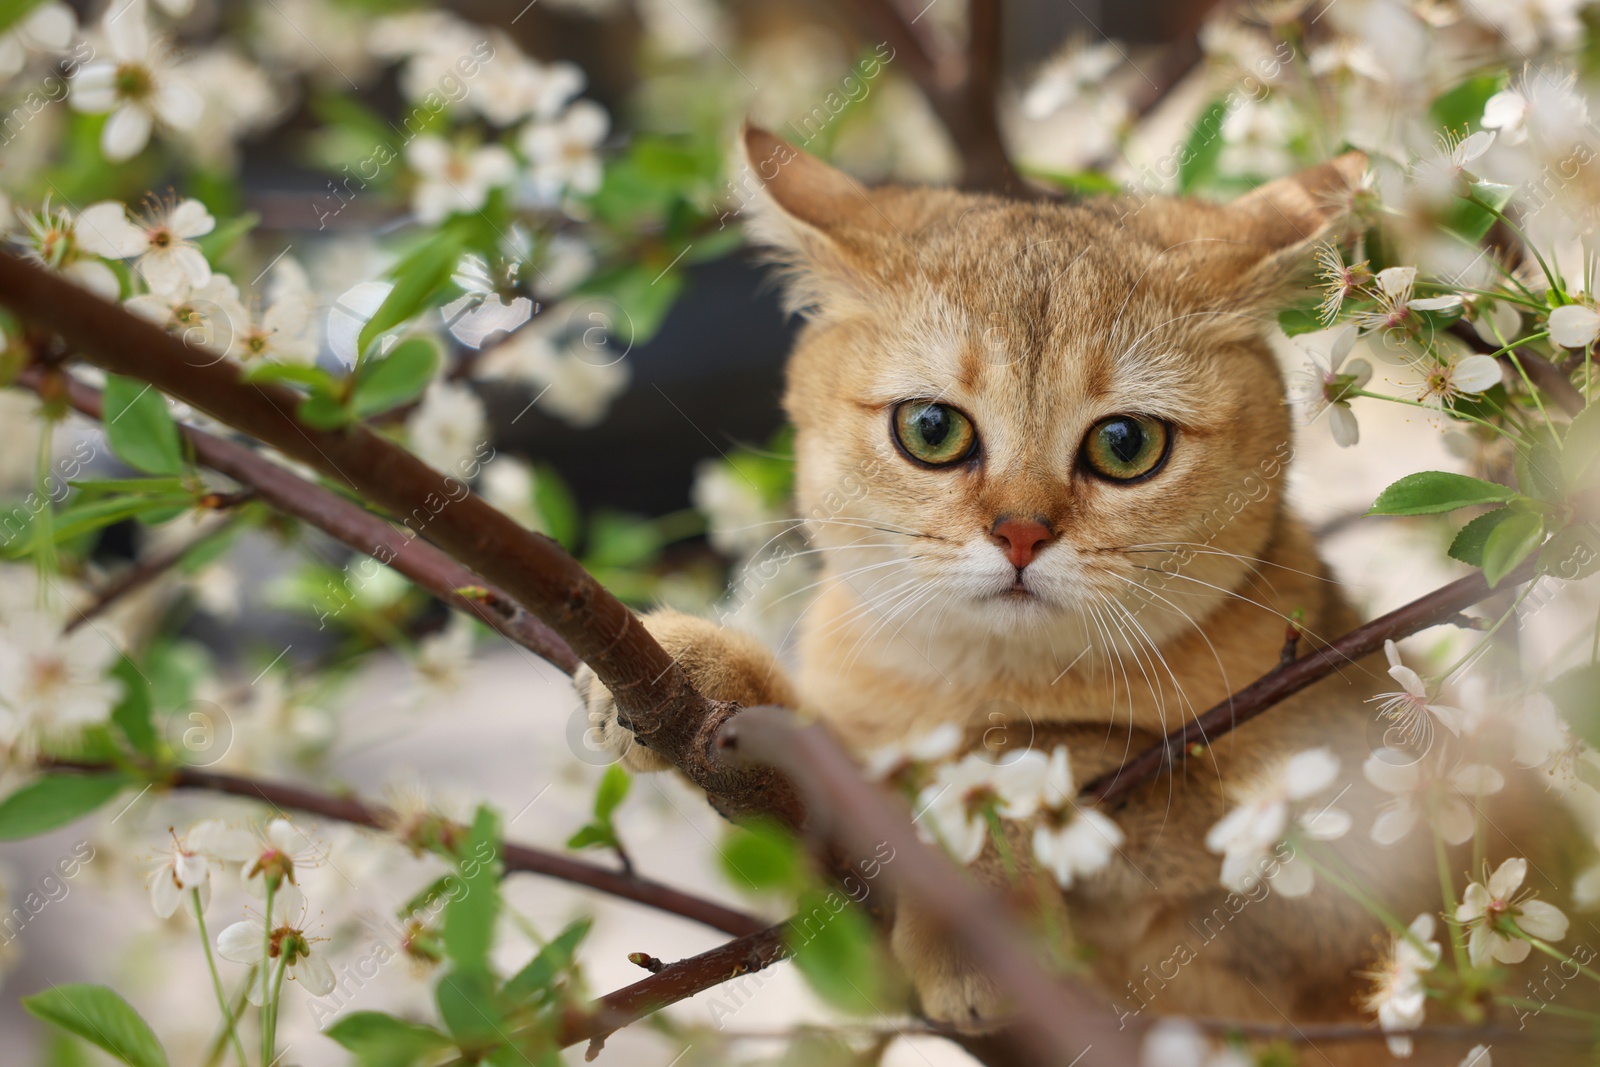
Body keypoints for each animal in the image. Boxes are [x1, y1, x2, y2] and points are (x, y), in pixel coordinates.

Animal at [572, 127, 1574, 1067]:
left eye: (1126, 444)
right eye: (930, 429)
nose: (1020, 533)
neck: (976, 676)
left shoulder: (1322, 871)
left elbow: (1027, 743)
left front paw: (976, 886)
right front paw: (708, 671)